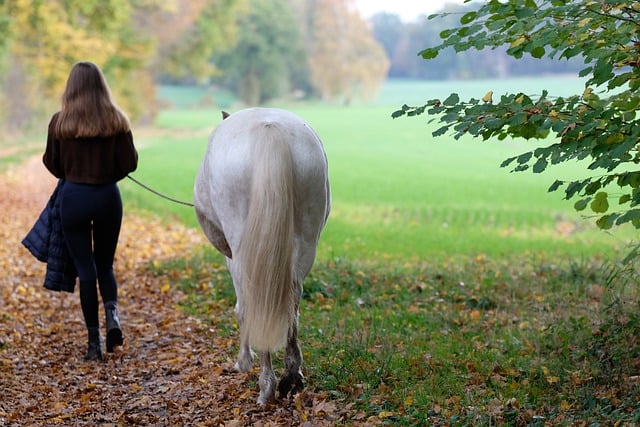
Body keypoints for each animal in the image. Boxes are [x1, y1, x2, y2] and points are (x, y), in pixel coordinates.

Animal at [194, 107, 330, 404]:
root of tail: (269, 129)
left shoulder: (231, 257)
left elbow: (241, 308)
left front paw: (244, 360)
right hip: (305, 243)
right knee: (291, 298)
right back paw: (291, 375)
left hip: (244, 249)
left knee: (257, 302)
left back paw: (266, 383)